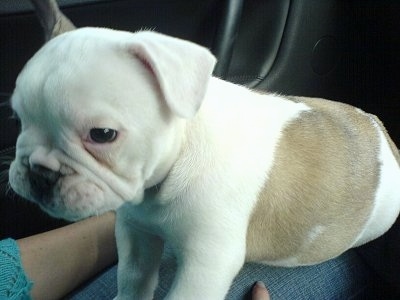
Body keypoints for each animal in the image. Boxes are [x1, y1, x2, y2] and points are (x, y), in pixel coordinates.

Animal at [9, 27, 400, 298]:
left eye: (102, 134)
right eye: (17, 119)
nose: (39, 172)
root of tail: (385, 135)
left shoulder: (206, 263)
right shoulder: (135, 230)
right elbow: (133, 275)